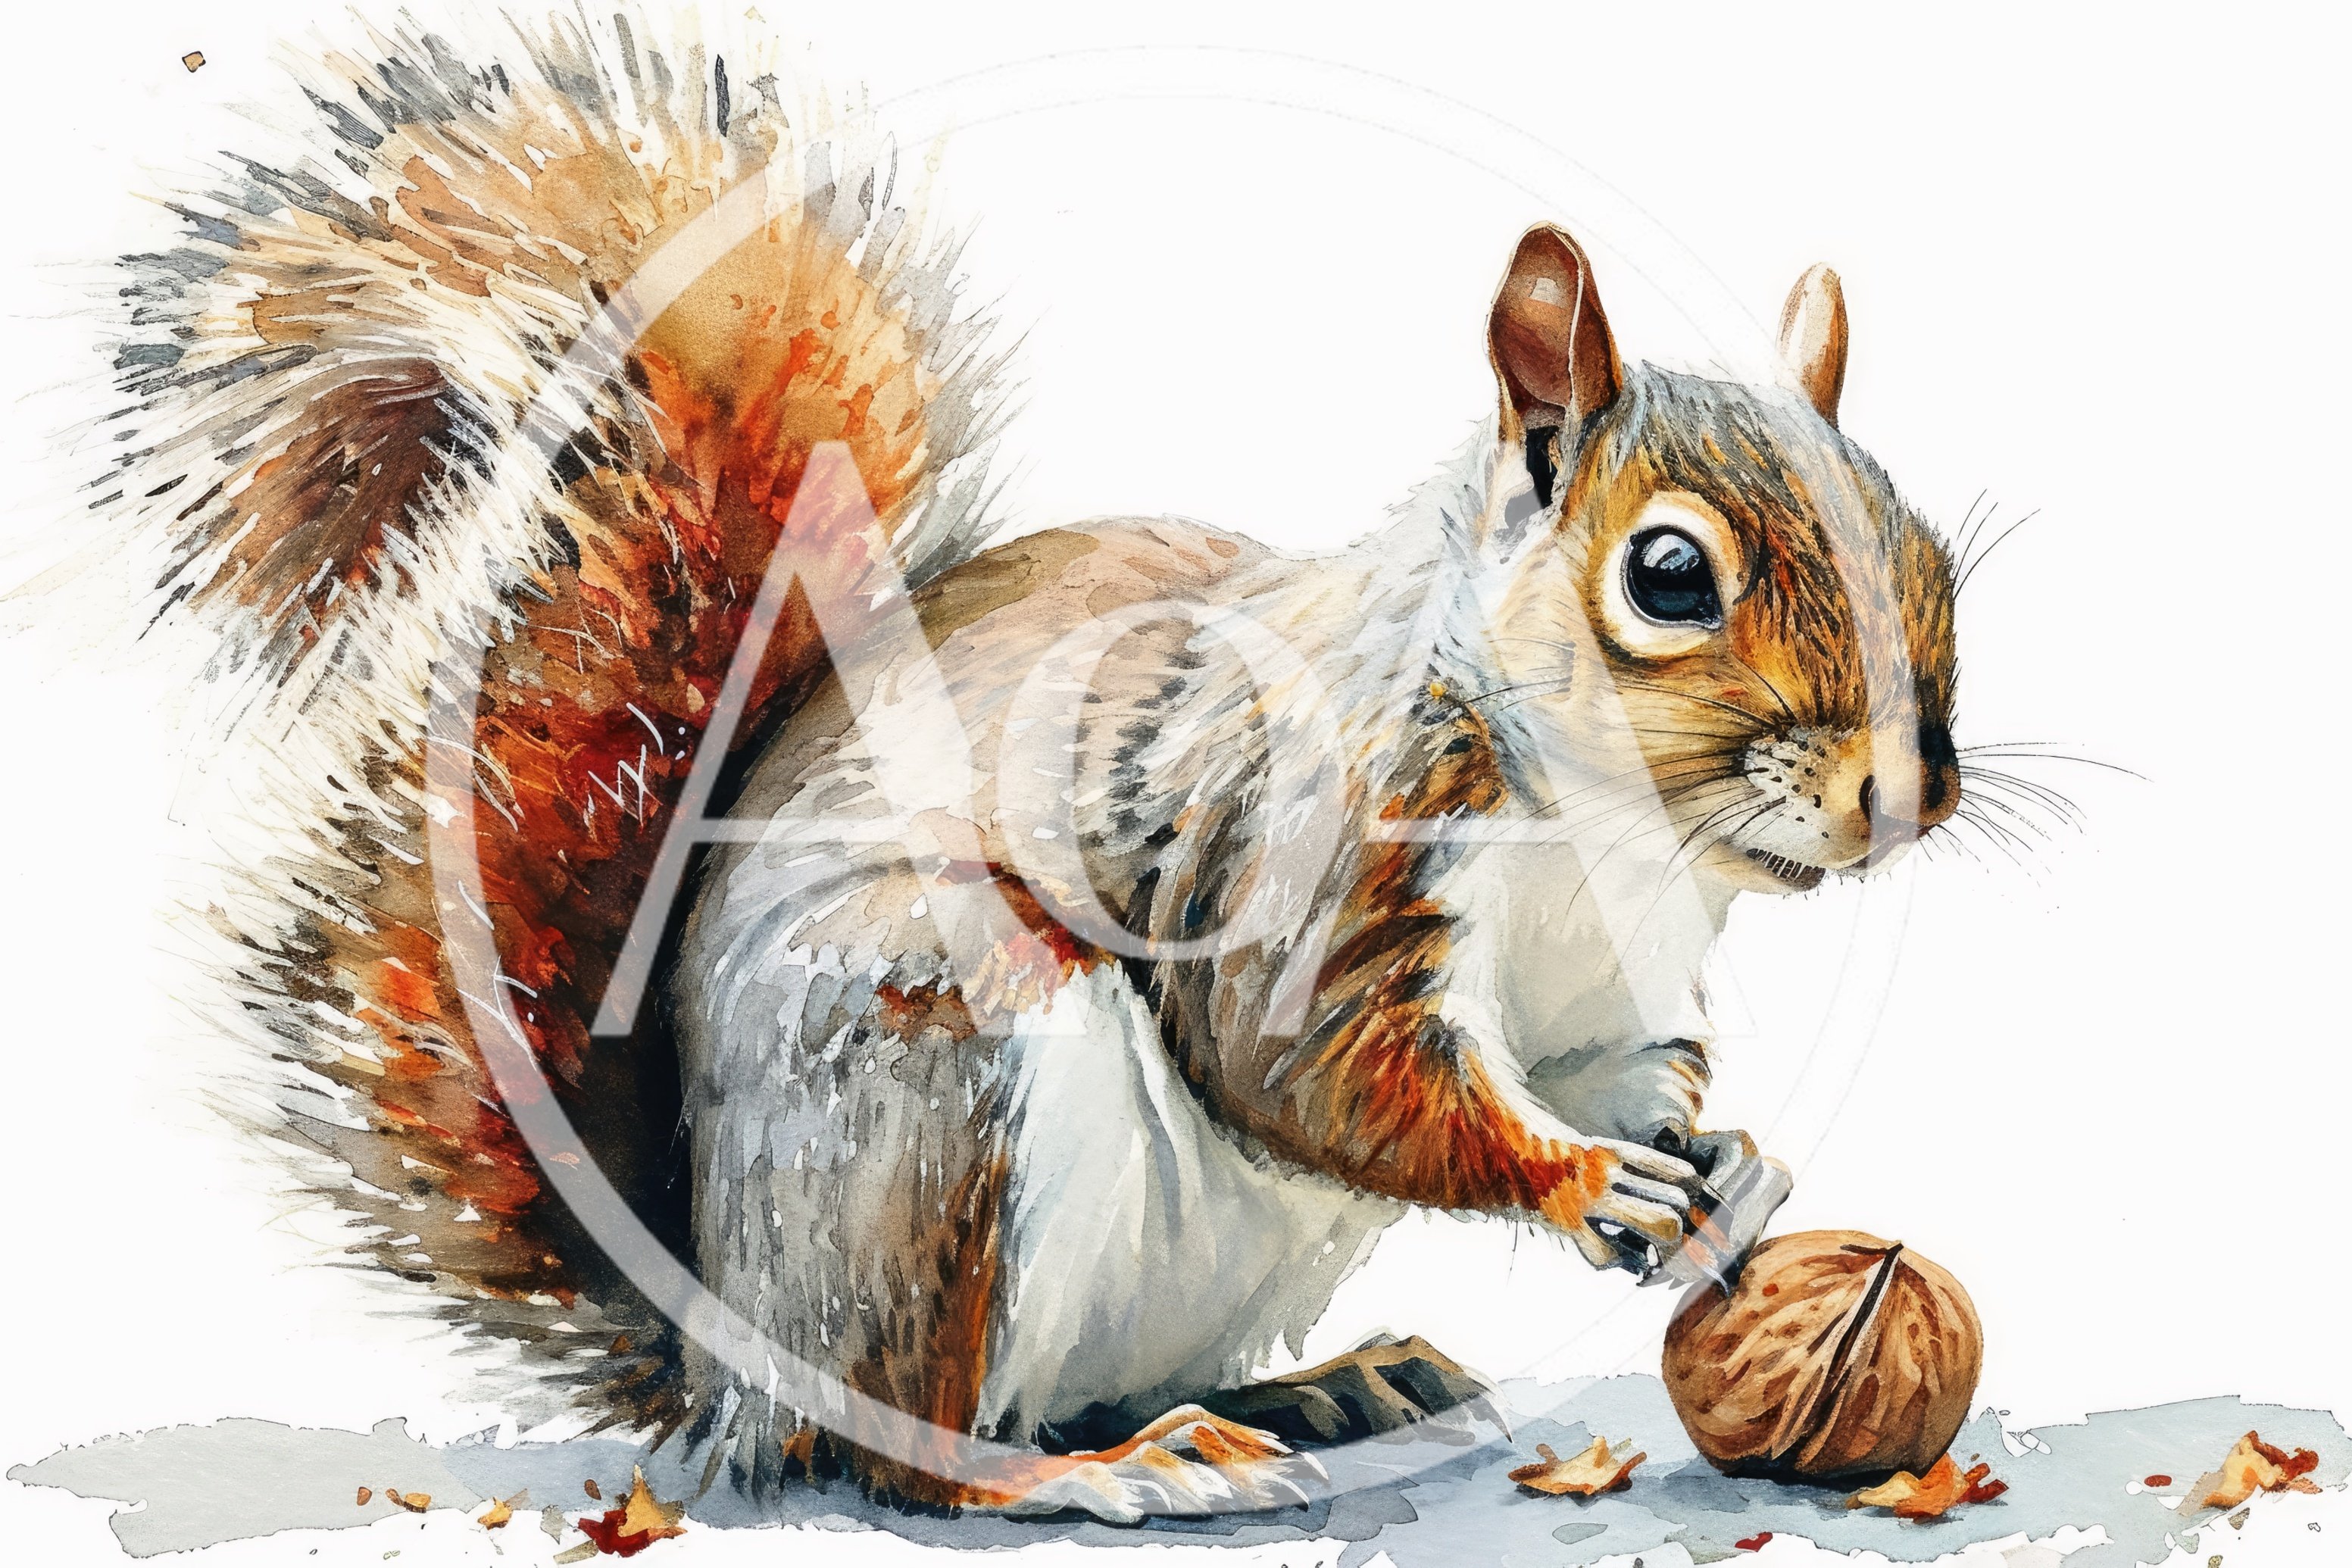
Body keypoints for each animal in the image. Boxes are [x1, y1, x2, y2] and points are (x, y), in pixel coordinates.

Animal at [102, 6, 1960, 1520]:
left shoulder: (1600, 989)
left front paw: (1725, 1160)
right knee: (914, 1447)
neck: (1609, 833)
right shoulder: (1300, 842)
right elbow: (1313, 1068)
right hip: (936, 1098)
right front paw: (1581, 1181)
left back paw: (1322, 1389)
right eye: (1670, 575)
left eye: (1922, 545)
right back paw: (1108, 1474)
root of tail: (728, 1351)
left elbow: (1614, 1068)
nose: (1904, 795)